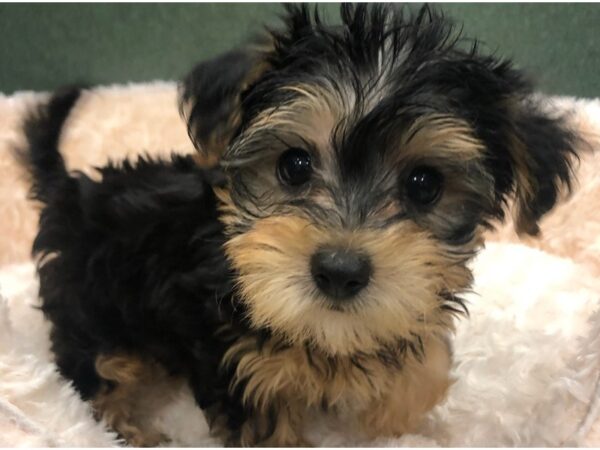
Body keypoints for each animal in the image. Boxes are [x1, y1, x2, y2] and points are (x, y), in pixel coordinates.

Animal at [21, 3, 580, 446]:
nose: (339, 270)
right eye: (293, 165)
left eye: (425, 184)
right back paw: (132, 430)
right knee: (96, 375)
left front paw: (397, 424)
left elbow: (424, 371)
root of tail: (72, 191)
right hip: (94, 310)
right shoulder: (242, 370)